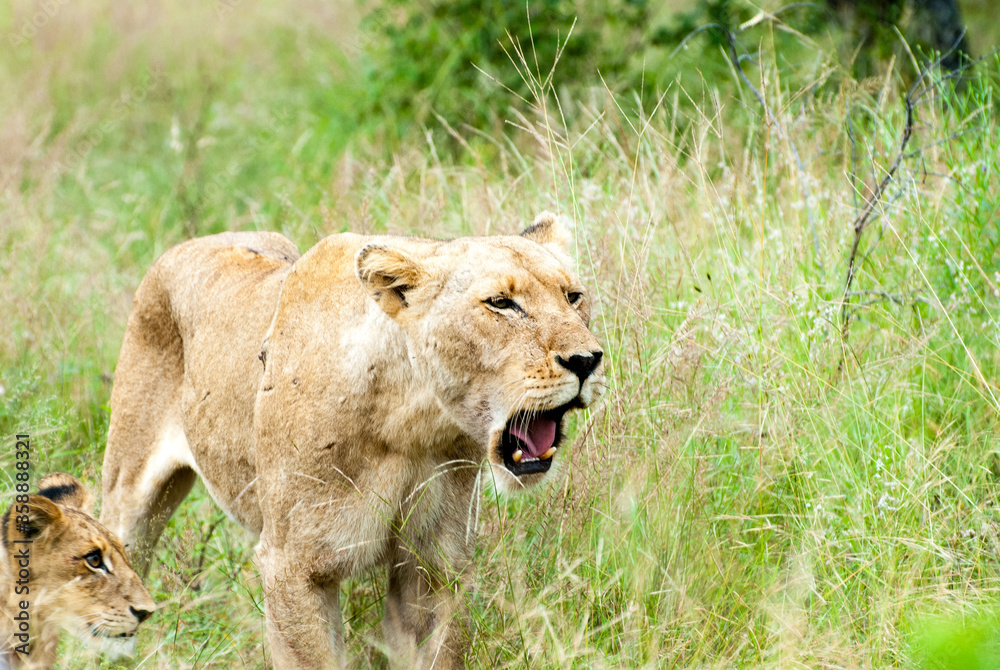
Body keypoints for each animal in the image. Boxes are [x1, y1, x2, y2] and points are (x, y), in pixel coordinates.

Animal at [100, 214, 605, 669]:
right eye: (501, 303)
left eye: (573, 297)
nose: (587, 360)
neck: (411, 427)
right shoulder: (291, 567)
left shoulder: (432, 563)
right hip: (128, 496)